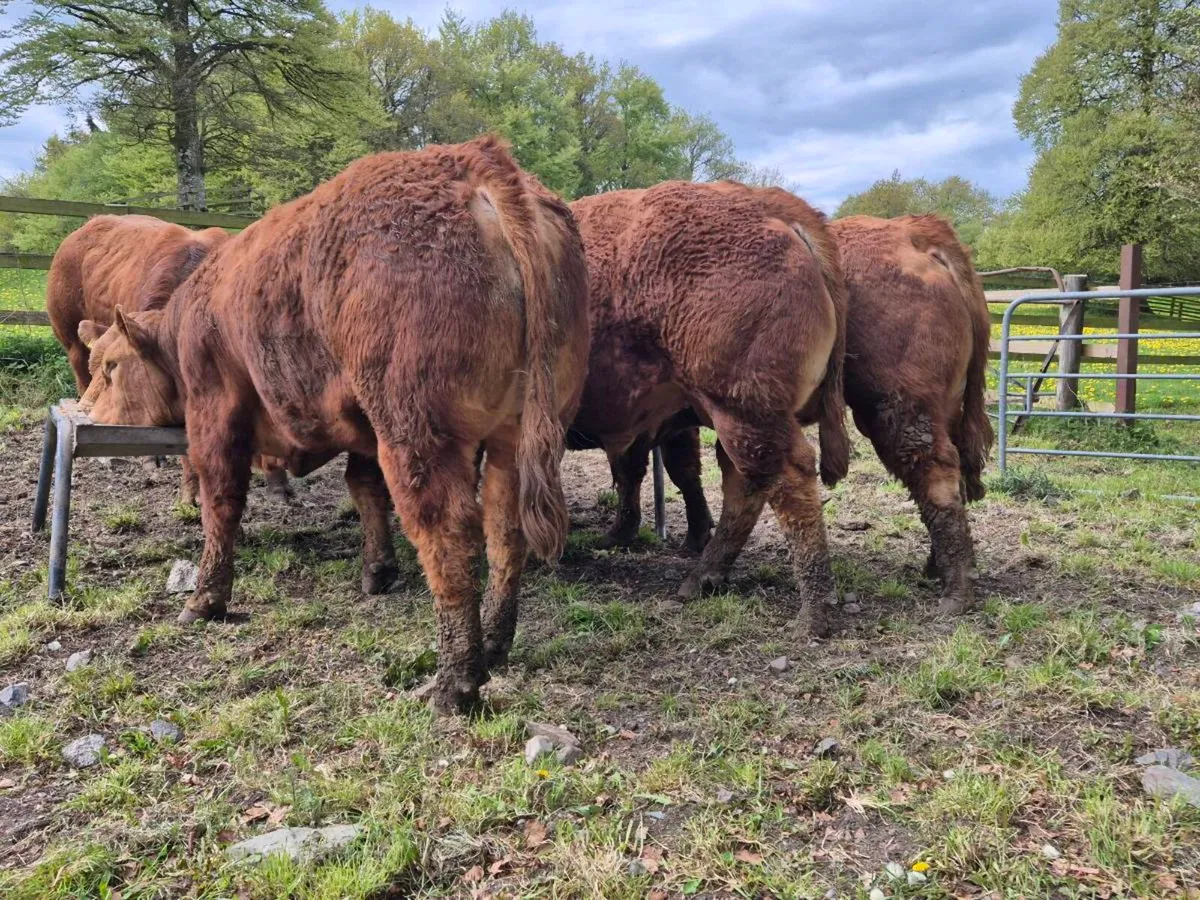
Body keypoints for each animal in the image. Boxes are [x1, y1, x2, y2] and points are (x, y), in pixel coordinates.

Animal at [78, 136, 591, 713]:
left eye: (110, 365)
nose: (84, 410)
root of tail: (475, 161)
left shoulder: (215, 410)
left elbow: (221, 502)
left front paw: (206, 598)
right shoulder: (362, 428)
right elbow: (364, 490)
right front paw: (377, 570)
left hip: (416, 432)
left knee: (449, 532)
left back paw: (454, 682)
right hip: (513, 437)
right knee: (505, 531)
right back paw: (495, 647)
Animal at [567, 181, 850, 635]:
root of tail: (767, 205)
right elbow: (657, 471)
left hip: (741, 410)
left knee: (784, 479)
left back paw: (813, 613)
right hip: (730, 417)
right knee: (743, 483)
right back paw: (704, 575)